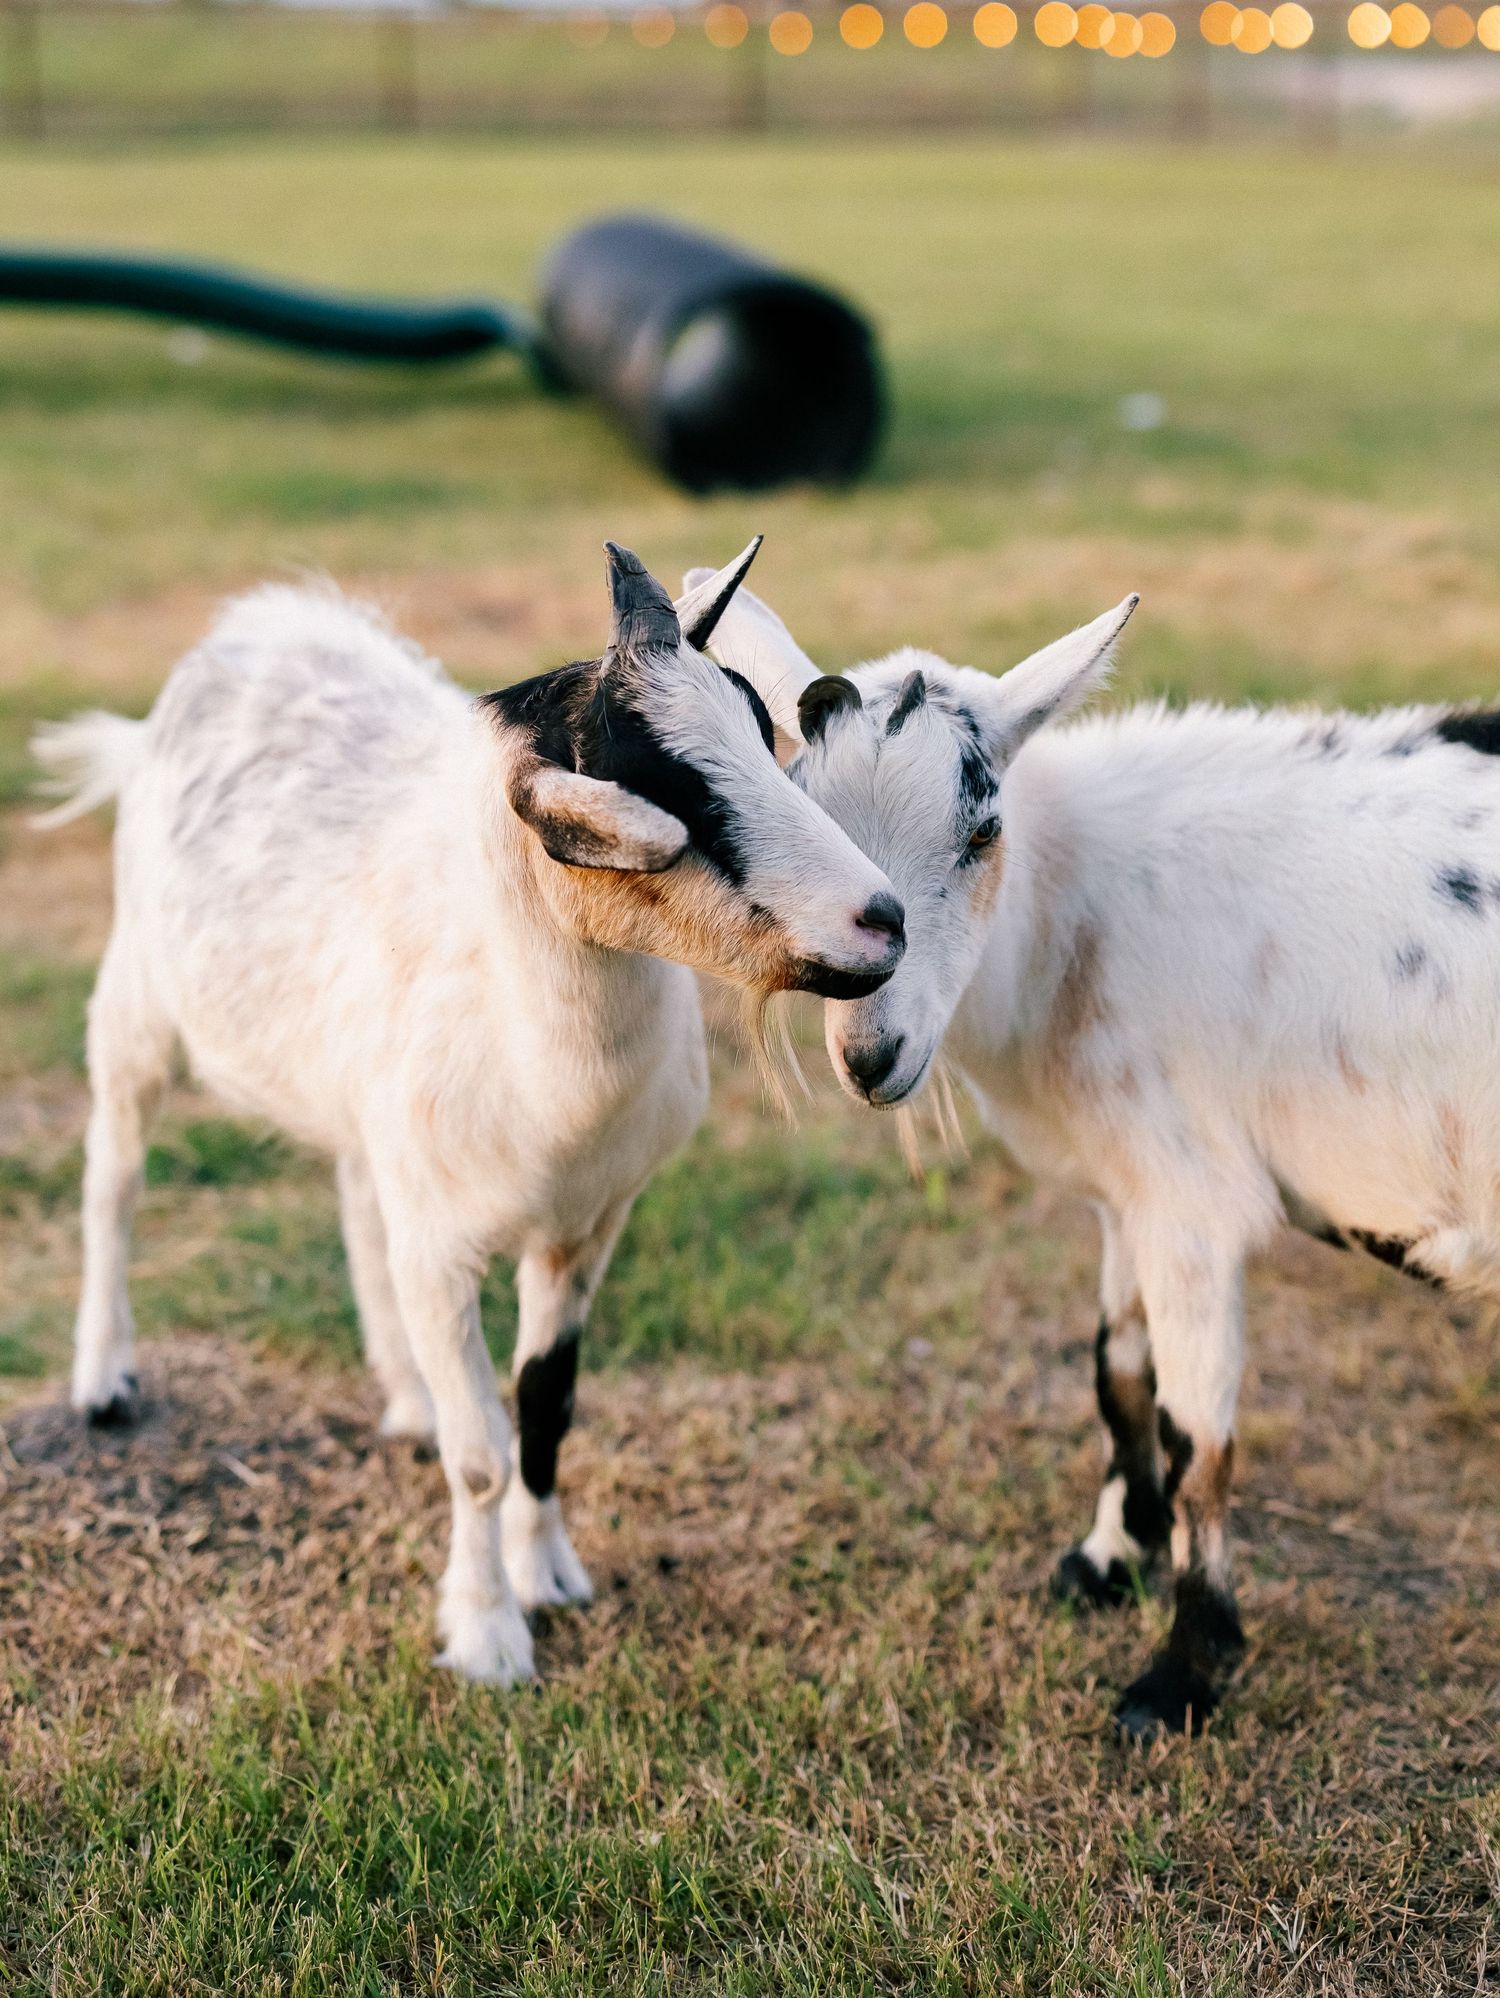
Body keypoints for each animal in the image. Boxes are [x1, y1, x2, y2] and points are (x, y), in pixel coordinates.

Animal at [32, 541, 906, 1686]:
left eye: (764, 737)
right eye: (661, 796)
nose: (883, 920)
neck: (546, 1071)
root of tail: (258, 622)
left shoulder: (585, 1227)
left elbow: (543, 1412)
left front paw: (549, 1575)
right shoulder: (445, 1250)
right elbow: (484, 1456)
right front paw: (487, 1632)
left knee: (357, 1201)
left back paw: (406, 1397)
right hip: (134, 996)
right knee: (116, 1178)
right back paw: (105, 1379)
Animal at [697, 571, 1500, 1737]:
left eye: (983, 830)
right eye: (797, 820)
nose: (870, 1052)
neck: (1073, 921)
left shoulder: (1194, 1200)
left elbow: (1197, 1435)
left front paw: (1183, 1669)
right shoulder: (1131, 1185)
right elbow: (1115, 1373)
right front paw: (1109, 1555)